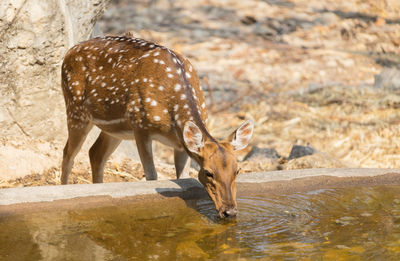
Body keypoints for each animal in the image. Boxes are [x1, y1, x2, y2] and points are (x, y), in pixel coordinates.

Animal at [61, 35, 253, 217]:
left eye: (237, 170)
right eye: (208, 172)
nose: (230, 211)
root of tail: (69, 51)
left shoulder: (180, 144)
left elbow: (183, 177)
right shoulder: (140, 126)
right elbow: (152, 176)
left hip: (115, 129)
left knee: (95, 153)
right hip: (75, 110)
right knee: (68, 154)